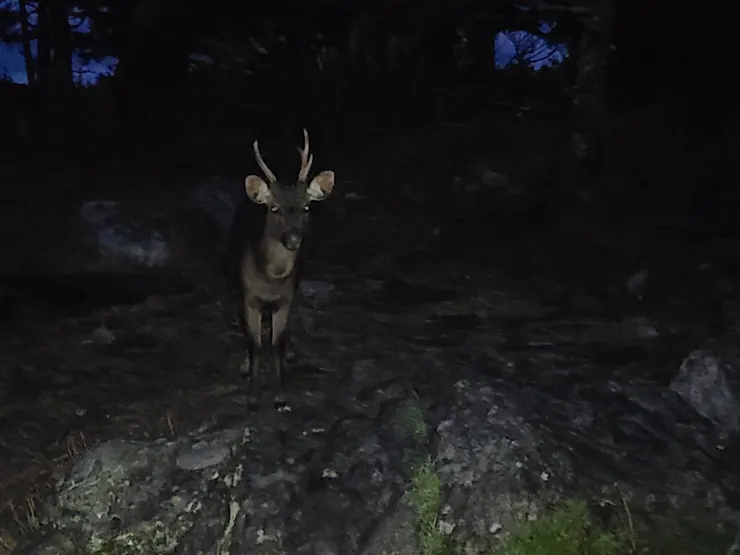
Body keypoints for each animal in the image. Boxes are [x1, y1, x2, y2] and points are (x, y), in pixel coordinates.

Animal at [226, 129, 335, 398]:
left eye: (306, 207)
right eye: (274, 209)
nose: (294, 239)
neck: (270, 279)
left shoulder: (286, 298)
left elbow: (277, 344)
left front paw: (280, 395)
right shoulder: (249, 296)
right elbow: (254, 344)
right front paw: (252, 394)